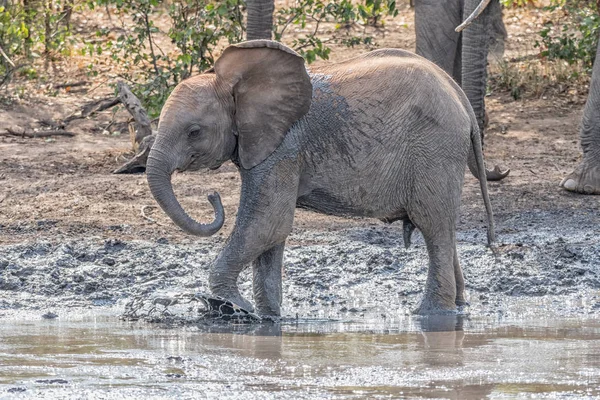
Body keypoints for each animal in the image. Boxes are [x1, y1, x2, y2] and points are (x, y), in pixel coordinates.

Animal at [145, 39, 492, 316]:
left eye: (194, 132)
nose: (213, 196)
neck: (235, 86)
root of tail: (458, 95)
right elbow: (271, 235)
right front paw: (268, 317)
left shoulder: (283, 149)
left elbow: (266, 224)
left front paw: (230, 307)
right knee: (443, 229)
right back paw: (459, 307)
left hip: (435, 147)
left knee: (432, 226)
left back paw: (430, 315)